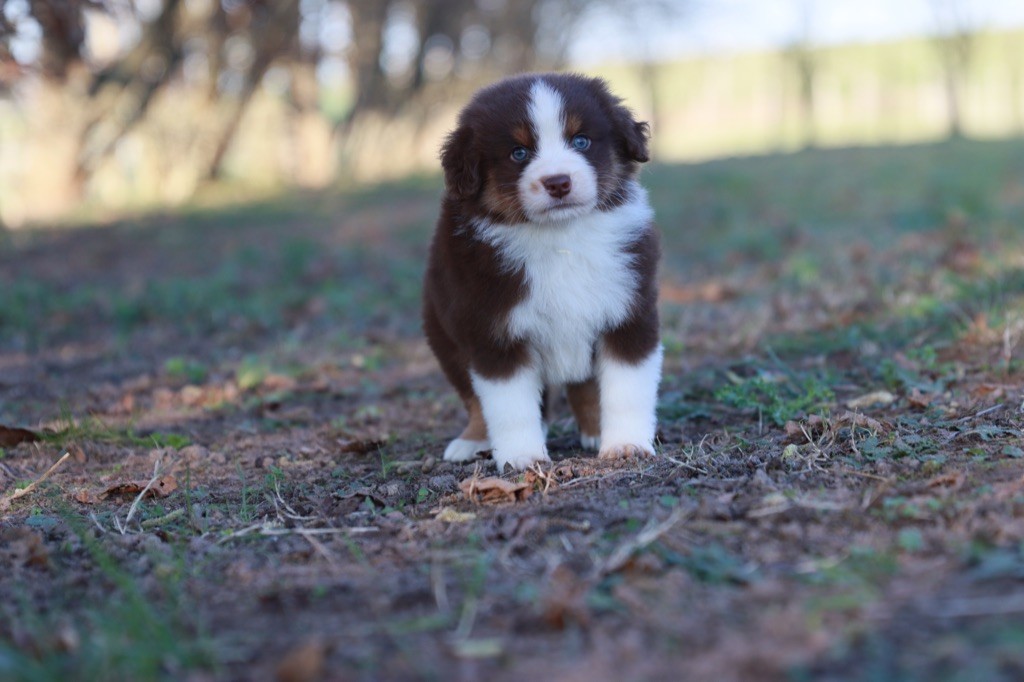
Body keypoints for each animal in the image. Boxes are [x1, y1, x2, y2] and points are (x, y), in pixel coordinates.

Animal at [423, 71, 663, 471]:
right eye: (518, 153)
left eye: (581, 141)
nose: (558, 182)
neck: (559, 236)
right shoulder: (494, 331)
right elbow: (509, 405)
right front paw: (522, 457)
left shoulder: (629, 313)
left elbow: (626, 390)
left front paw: (625, 445)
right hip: (443, 333)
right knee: (473, 398)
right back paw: (472, 441)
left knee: (583, 386)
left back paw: (594, 431)